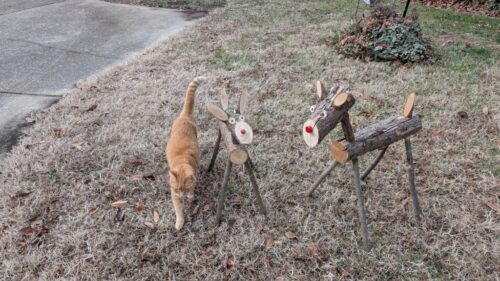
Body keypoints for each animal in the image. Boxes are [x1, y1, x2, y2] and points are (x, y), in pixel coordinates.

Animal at [166, 76, 205, 230]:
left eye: (184, 188)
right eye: (177, 189)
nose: (182, 196)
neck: (182, 160)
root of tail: (184, 116)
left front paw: (190, 196)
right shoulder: (174, 195)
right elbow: (178, 210)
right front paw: (179, 222)